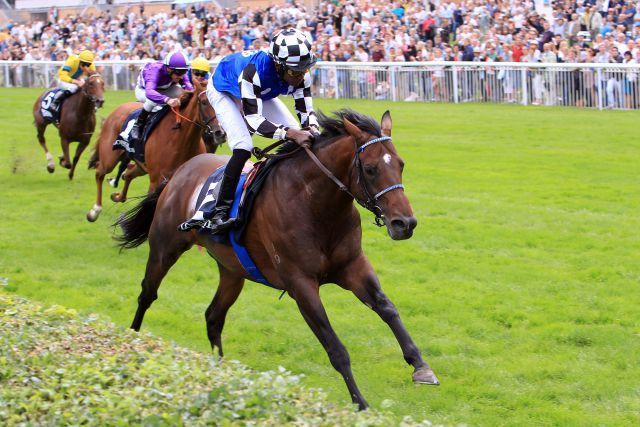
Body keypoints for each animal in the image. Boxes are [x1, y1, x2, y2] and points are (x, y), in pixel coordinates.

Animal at [85, 78, 225, 222]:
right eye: (204, 102)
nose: (220, 133)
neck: (178, 140)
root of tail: (117, 110)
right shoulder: (157, 181)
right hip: (110, 158)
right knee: (100, 172)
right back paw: (94, 211)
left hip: (141, 165)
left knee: (128, 173)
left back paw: (117, 196)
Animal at [115, 110, 440, 412]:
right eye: (371, 169)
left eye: (400, 164)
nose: (404, 223)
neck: (317, 206)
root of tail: (180, 172)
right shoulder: (301, 284)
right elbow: (335, 347)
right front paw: (360, 403)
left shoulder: (352, 267)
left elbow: (387, 308)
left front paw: (421, 366)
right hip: (165, 248)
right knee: (147, 294)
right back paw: (133, 342)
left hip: (232, 270)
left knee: (213, 316)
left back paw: (219, 370)